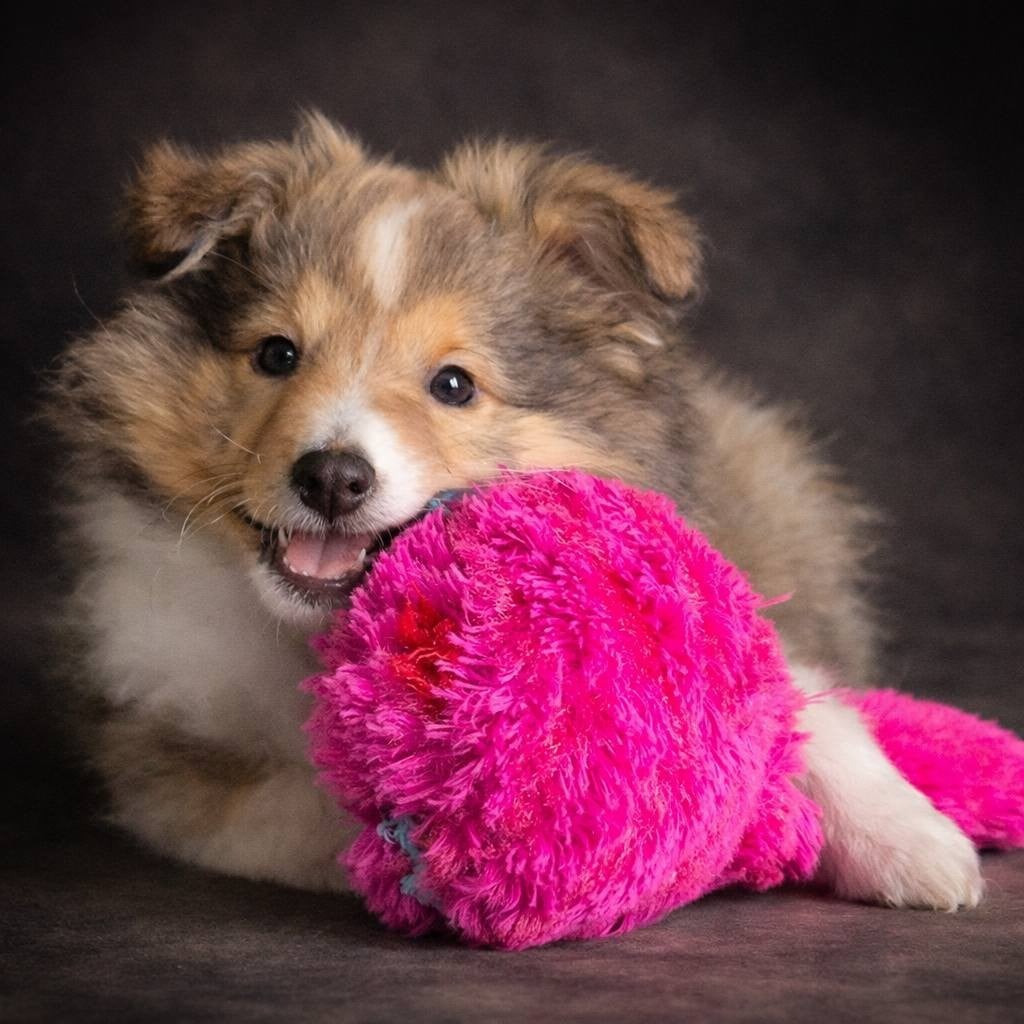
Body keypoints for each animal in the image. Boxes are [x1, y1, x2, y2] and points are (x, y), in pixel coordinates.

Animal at [46, 111, 982, 908]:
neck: (313, 632)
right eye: (276, 354)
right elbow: (302, 811)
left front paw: (921, 850)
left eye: (454, 384)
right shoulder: (167, 754)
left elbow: (812, 712)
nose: (333, 478)